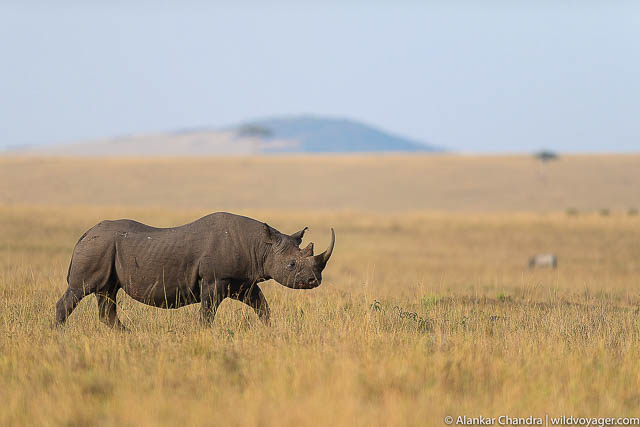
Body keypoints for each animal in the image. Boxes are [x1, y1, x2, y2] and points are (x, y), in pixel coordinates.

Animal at [55, 212, 335, 329]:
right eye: (291, 265)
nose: (314, 281)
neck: (261, 246)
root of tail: (84, 235)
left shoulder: (243, 282)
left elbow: (262, 306)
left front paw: (269, 330)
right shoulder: (214, 278)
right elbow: (208, 312)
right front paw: (204, 333)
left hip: (104, 249)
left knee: (107, 294)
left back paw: (126, 334)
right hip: (97, 247)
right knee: (80, 290)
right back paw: (59, 333)